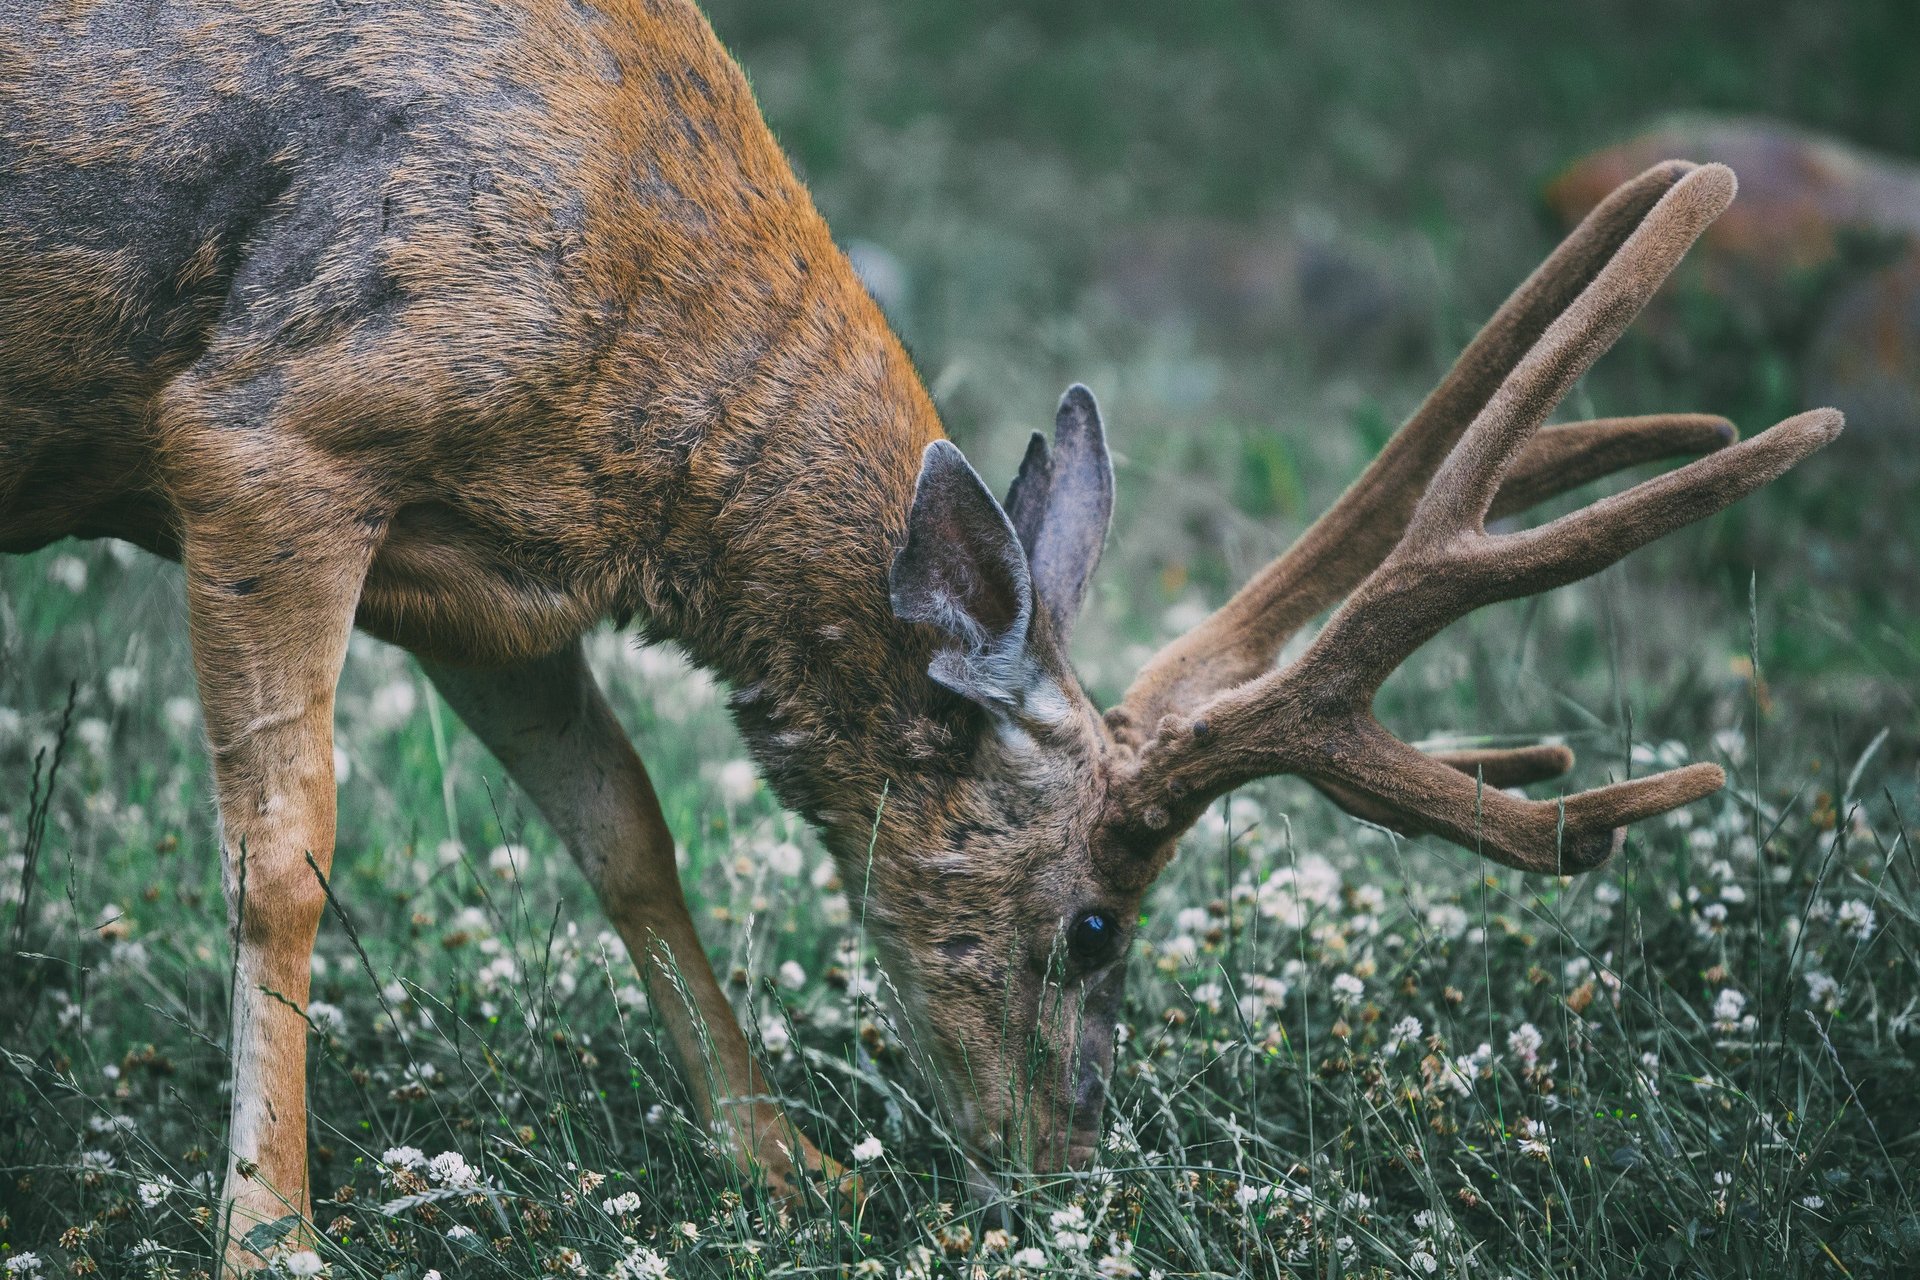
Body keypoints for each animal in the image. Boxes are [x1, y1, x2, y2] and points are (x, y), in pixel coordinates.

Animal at [0, 0, 1840, 1268]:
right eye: (1094, 926)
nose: (1065, 1171)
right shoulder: (270, 431)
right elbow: (284, 858)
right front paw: (270, 1233)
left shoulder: (482, 578)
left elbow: (624, 829)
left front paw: (784, 1168)